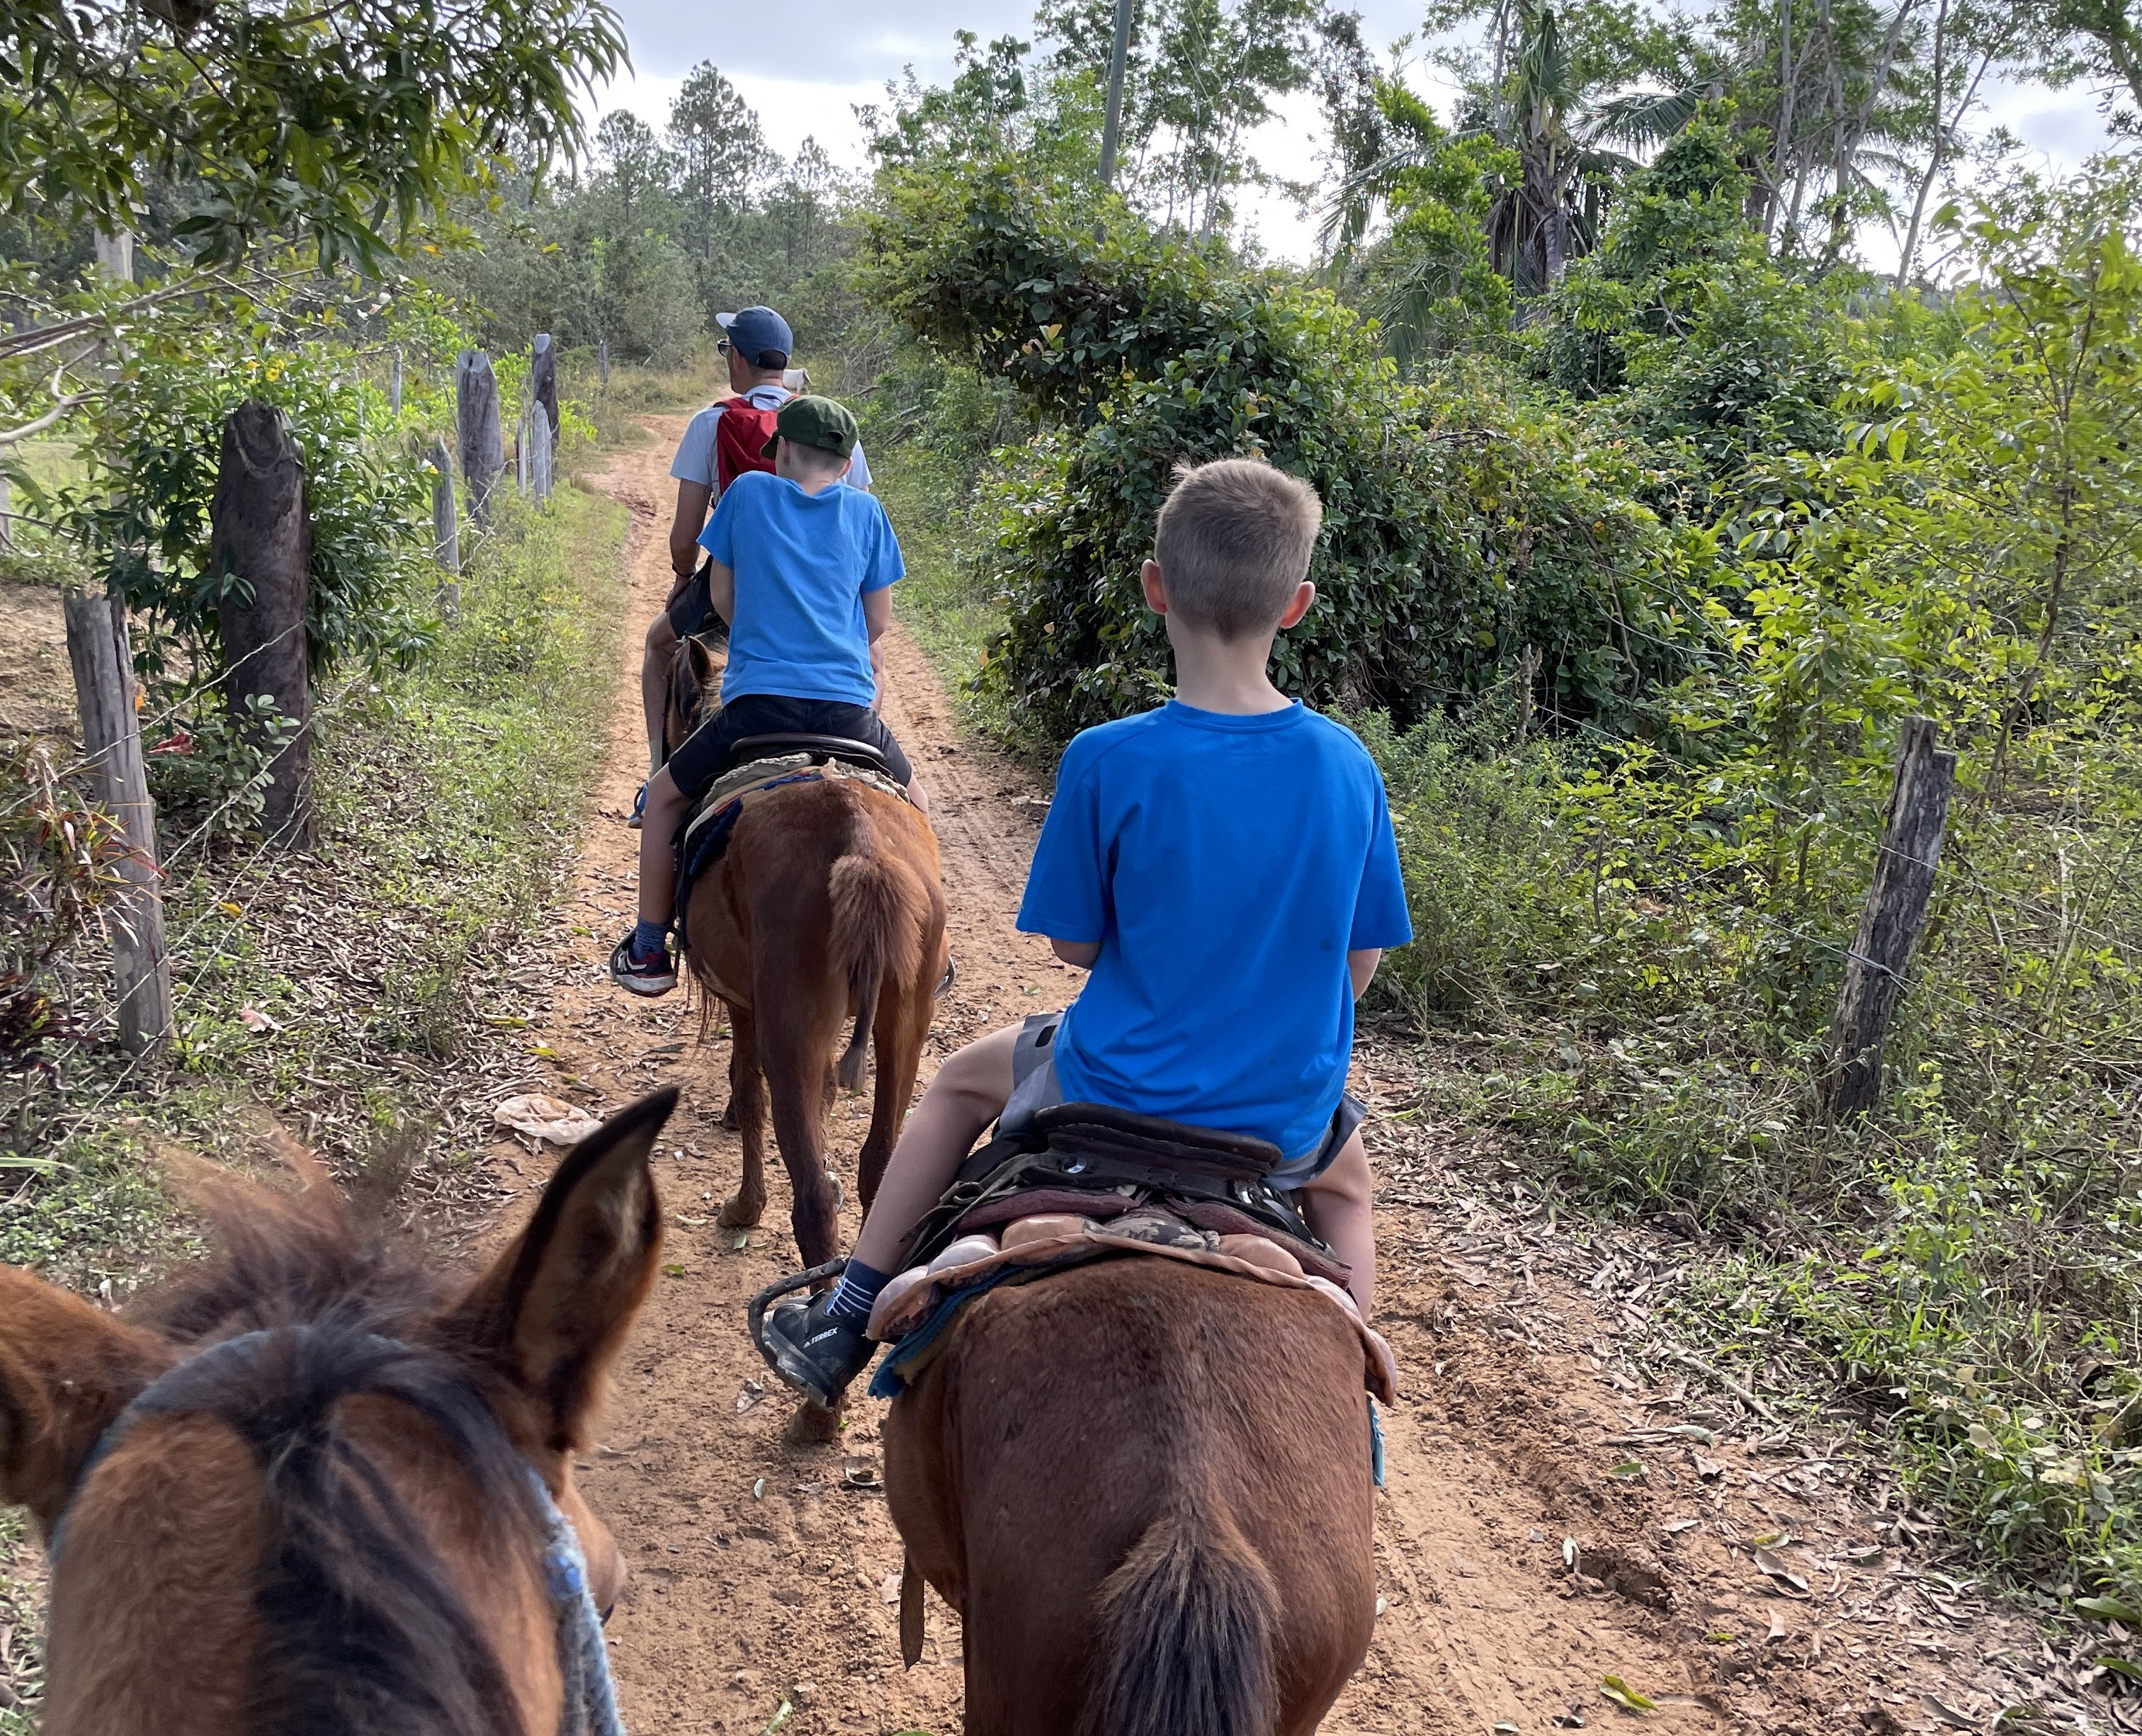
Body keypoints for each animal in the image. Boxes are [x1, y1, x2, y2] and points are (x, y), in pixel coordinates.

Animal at [664, 637, 942, 1276]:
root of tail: (860, 844)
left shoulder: (745, 1006)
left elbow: (747, 1087)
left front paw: (744, 1205)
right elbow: (826, 1096)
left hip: (790, 1026)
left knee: (811, 1199)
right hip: (905, 1019)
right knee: (880, 1165)